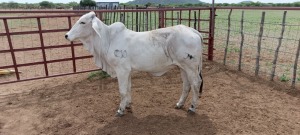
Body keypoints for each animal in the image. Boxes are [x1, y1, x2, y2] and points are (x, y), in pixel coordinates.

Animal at [65, 11, 204, 117]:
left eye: (82, 22)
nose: (66, 35)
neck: (108, 39)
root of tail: (193, 30)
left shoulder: (121, 70)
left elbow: (122, 91)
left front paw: (120, 110)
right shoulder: (128, 71)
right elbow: (128, 88)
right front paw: (127, 105)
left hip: (191, 67)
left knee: (196, 83)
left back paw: (192, 107)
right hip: (182, 67)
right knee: (186, 85)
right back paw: (180, 104)